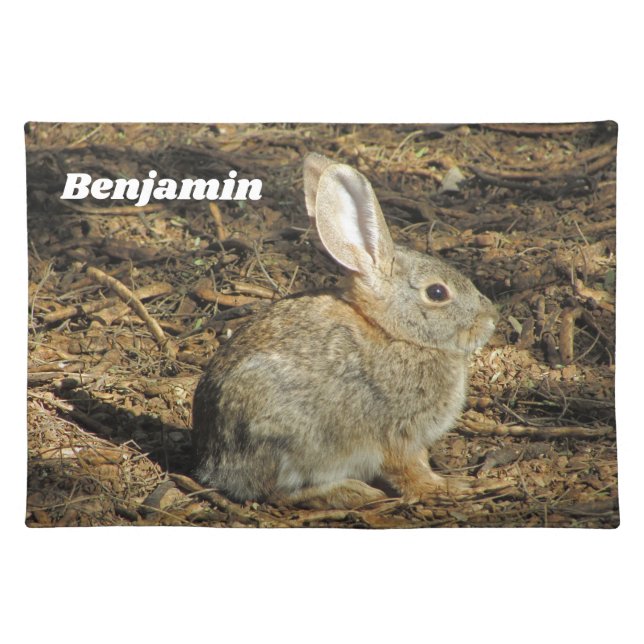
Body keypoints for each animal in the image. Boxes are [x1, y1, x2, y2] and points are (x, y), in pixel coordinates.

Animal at [192, 153, 499, 509]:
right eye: (437, 293)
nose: (491, 319)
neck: (395, 334)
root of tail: (215, 464)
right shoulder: (398, 434)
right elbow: (410, 471)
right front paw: (449, 487)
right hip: (295, 442)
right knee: (279, 494)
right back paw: (352, 491)